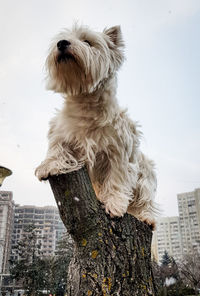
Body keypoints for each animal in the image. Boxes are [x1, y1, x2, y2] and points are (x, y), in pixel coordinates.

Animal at [36, 24, 158, 229]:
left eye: (87, 41)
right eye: (62, 38)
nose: (62, 43)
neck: (85, 102)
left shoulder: (119, 154)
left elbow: (116, 179)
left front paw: (114, 206)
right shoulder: (60, 133)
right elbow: (57, 148)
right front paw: (48, 165)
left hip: (145, 175)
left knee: (145, 201)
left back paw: (146, 218)